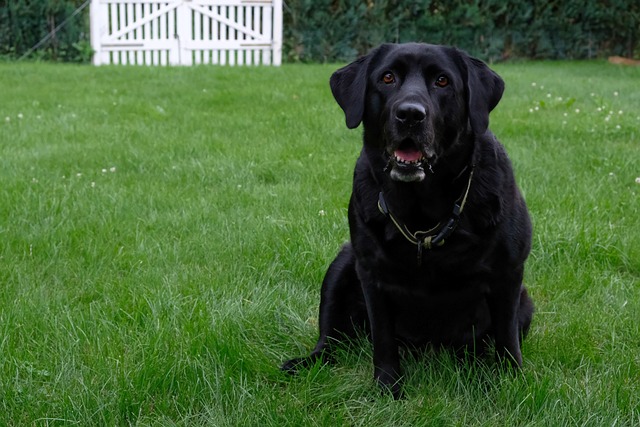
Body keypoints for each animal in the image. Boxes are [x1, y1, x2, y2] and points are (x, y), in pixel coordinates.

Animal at [282, 43, 532, 398]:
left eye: (442, 81)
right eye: (387, 78)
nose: (410, 114)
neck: (422, 210)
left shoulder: (508, 274)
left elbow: (507, 339)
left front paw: (511, 383)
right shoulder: (371, 274)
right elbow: (383, 339)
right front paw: (388, 388)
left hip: (525, 304)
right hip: (341, 265)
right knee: (330, 339)